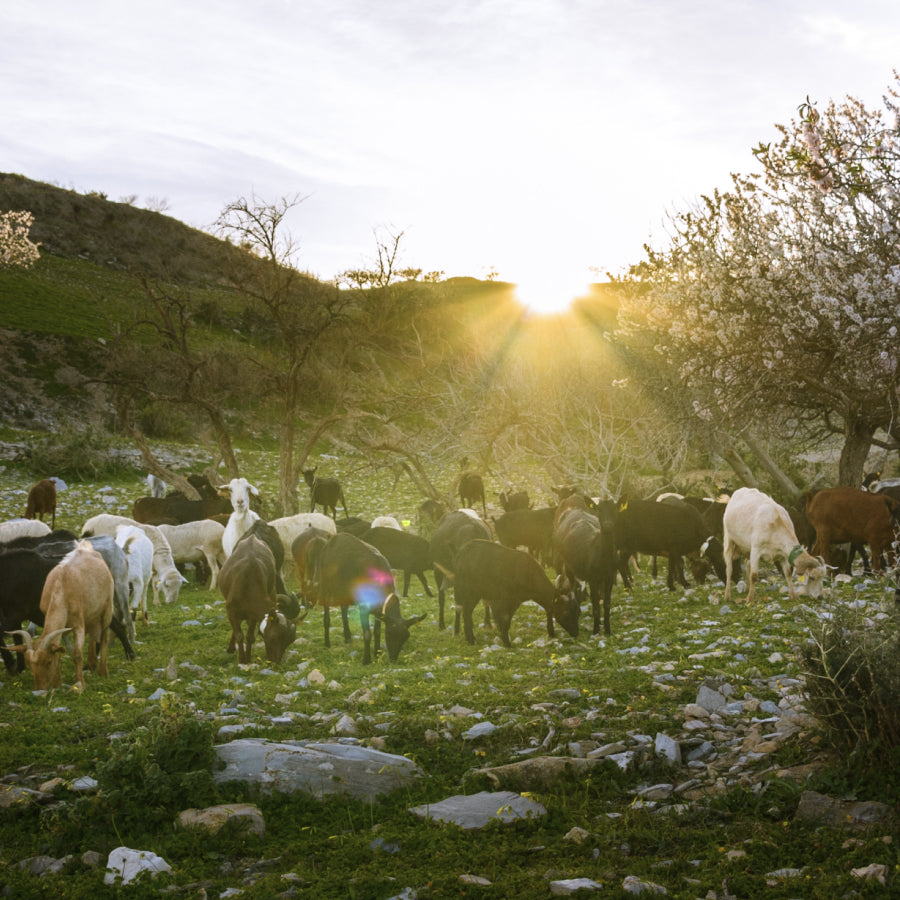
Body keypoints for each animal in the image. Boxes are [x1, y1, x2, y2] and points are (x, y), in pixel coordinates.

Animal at [8, 540, 114, 688]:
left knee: (104, 636)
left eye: (48, 662)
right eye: (30, 665)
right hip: (91, 614)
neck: (61, 588)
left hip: (107, 608)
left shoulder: (78, 624)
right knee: (93, 635)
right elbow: (58, 648)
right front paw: (57, 683)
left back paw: (103, 672)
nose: (40, 689)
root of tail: (86, 548)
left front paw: (79, 685)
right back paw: (91, 664)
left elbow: (77, 654)